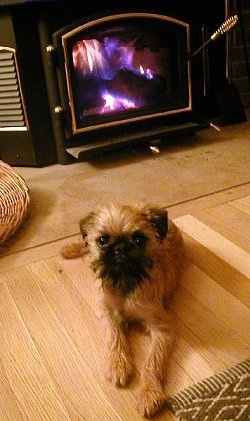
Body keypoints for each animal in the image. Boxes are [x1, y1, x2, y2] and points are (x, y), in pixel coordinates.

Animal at [61, 203, 185, 416]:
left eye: (139, 240)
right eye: (103, 240)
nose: (120, 248)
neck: (125, 281)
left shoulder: (162, 329)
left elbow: (152, 361)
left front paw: (148, 392)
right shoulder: (107, 312)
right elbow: (114, 335)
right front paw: (118, 365)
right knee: (85, 243)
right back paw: (70, 248)